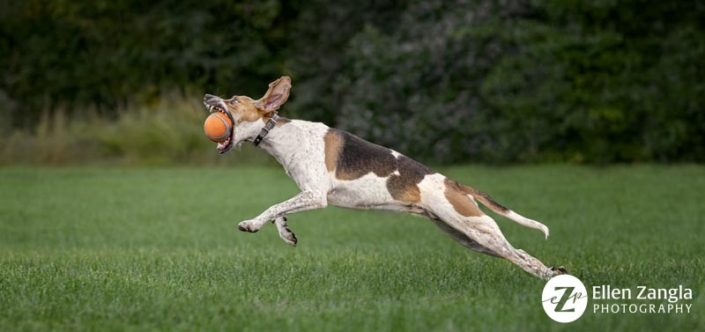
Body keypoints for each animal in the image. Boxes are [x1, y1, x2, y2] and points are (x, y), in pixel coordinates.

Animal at [204, 76, 568, 278]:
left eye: (233, 100)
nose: (208, 96)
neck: (278, 133)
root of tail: (454, 183)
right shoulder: (307, 194)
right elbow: (280, 211)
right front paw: (286, 234)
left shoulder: (315, 196)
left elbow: (272, 207)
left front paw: (251, 224)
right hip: (468, 236)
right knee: (521, 254)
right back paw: (554, 273)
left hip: (476, 229)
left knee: (519, 256)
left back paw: (550, 278)